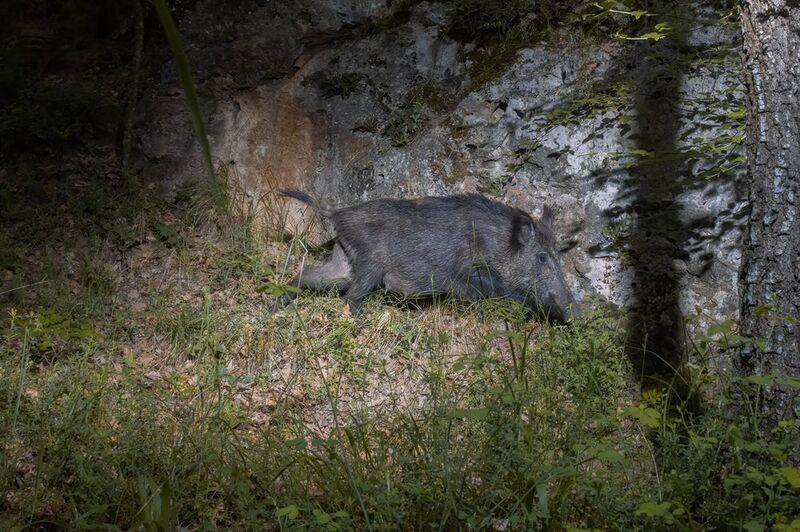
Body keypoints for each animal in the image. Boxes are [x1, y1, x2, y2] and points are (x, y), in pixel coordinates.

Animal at [277, 189, 580, 322]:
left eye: (558, 255)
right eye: (542, 257)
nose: (576, 311)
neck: (497, 246)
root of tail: (336, 214)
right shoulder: (464, 277)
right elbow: (481, 300)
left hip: (343, 262)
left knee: (306, 275)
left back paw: (275, 307)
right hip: (370, 265)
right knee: (350, 297)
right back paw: (365, 320)